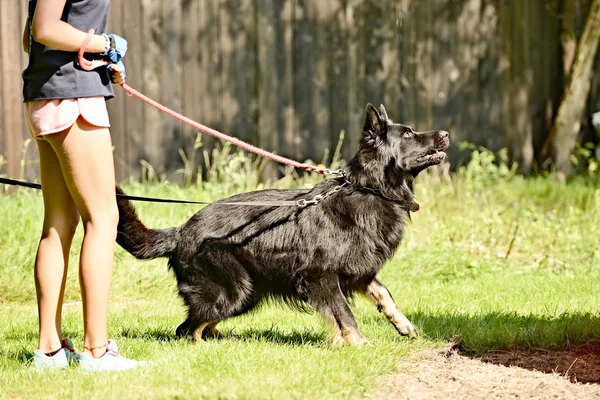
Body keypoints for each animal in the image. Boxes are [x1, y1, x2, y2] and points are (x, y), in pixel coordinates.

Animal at [116, 104, 446, 346]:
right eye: (408, 134)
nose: (444, 133)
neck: (369, 188)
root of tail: (180, 232)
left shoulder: (359, 273)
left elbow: (384, 295)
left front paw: (404, 326)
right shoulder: (322, 277)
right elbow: (345, 314)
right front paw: (359, 344)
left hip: (246, 295)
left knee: (200, 325)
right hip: (231, 293)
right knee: (187, 329)